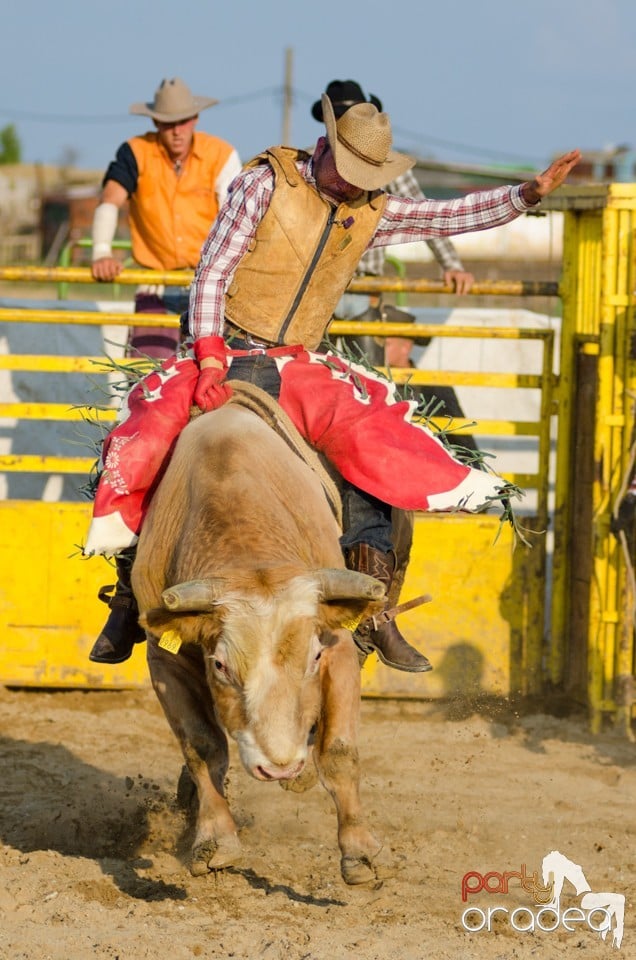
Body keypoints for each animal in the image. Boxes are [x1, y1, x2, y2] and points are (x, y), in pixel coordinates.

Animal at [132, 398, 396, 884]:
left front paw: (360, 852)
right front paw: (215, 838)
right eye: (220, 666)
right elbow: (202, 746)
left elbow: (339, 751)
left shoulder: (338, 648)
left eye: (313, 657)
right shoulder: (165, 659)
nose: (279, 766)